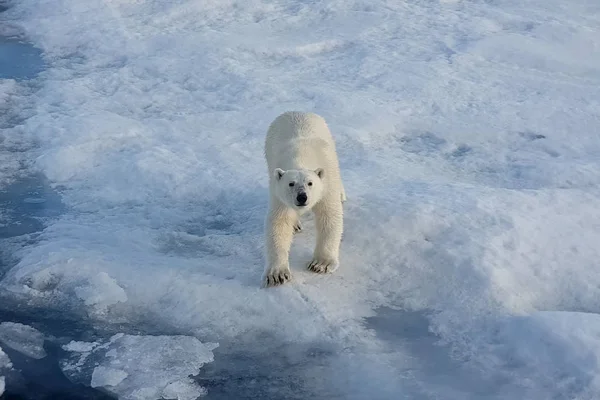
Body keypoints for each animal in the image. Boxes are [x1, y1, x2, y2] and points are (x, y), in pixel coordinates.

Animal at [264, 111, 346, 288]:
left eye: (310, 183)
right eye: (291, 183)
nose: (302, 197)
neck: (301, 156)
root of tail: (295, 111)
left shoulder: (326, 184)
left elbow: (329, 217)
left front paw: (321, 264)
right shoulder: (279, 194)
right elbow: (279, 223)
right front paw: (278, 274)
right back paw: (296, 224)